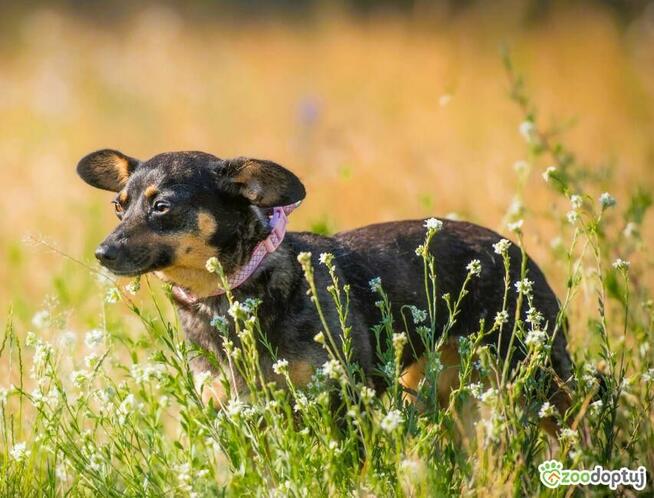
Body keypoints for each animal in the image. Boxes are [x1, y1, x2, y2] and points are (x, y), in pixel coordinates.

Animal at [78, 150, 576, 422]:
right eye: (118, 205)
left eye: (161, 207)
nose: (102, 252)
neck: (231, 299)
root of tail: (514, 250)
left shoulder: (344, 399)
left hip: (544, 375)